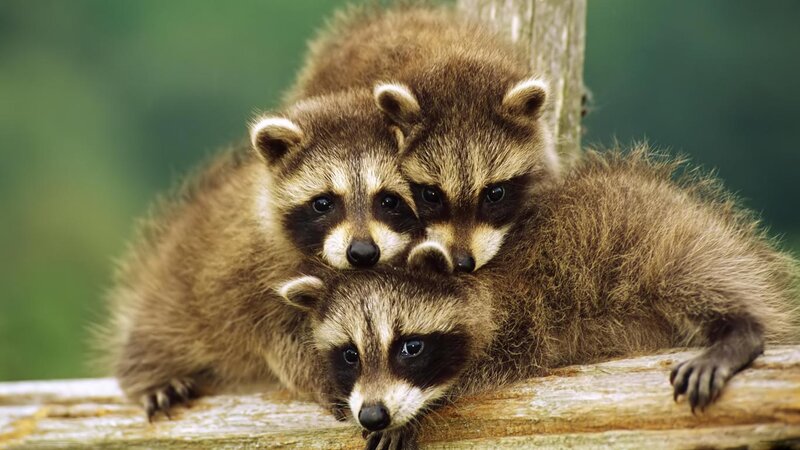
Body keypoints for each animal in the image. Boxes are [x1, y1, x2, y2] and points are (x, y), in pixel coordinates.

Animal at [105, 89, 421, 419]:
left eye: (389, 200)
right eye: (323, 202)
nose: (362, 252)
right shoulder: (251, 279)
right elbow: (284, 341)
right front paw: (329, 376)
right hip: (174, 299)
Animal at [278, 148, 799, 449]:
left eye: (410, 346)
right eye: (350, 354)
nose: (373, 414)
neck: (478, 281)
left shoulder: (526, 313)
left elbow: (486, 367)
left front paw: (420, 408)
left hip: (673, 243)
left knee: (694, 279)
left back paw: (741, 330)